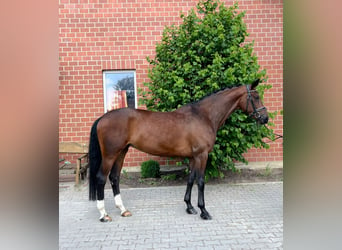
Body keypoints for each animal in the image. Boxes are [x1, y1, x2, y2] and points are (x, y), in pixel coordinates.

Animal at [89, 79, 270, 221]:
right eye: (255, 97)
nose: (265, 118)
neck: (204, 116)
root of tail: (103, 118)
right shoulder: (202, 155)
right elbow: (201, 181)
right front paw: (204, 211)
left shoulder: (193, 157)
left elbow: (190, 179)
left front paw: (189, 207)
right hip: (110, 155)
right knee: (101, 178)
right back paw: (104, 215)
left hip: (121, 152)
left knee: (114, 178)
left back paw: (123, 210)